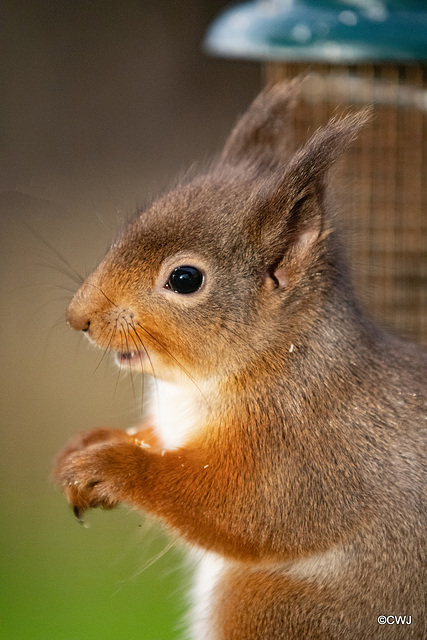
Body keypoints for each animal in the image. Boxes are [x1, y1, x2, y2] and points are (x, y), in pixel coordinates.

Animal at [51, 82, 426, 636]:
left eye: (185, 279)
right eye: (134, 222)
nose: (79, 317)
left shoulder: (299, 452)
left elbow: (241, 509)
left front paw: (112, 465)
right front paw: (94, 441)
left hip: (271, 607)